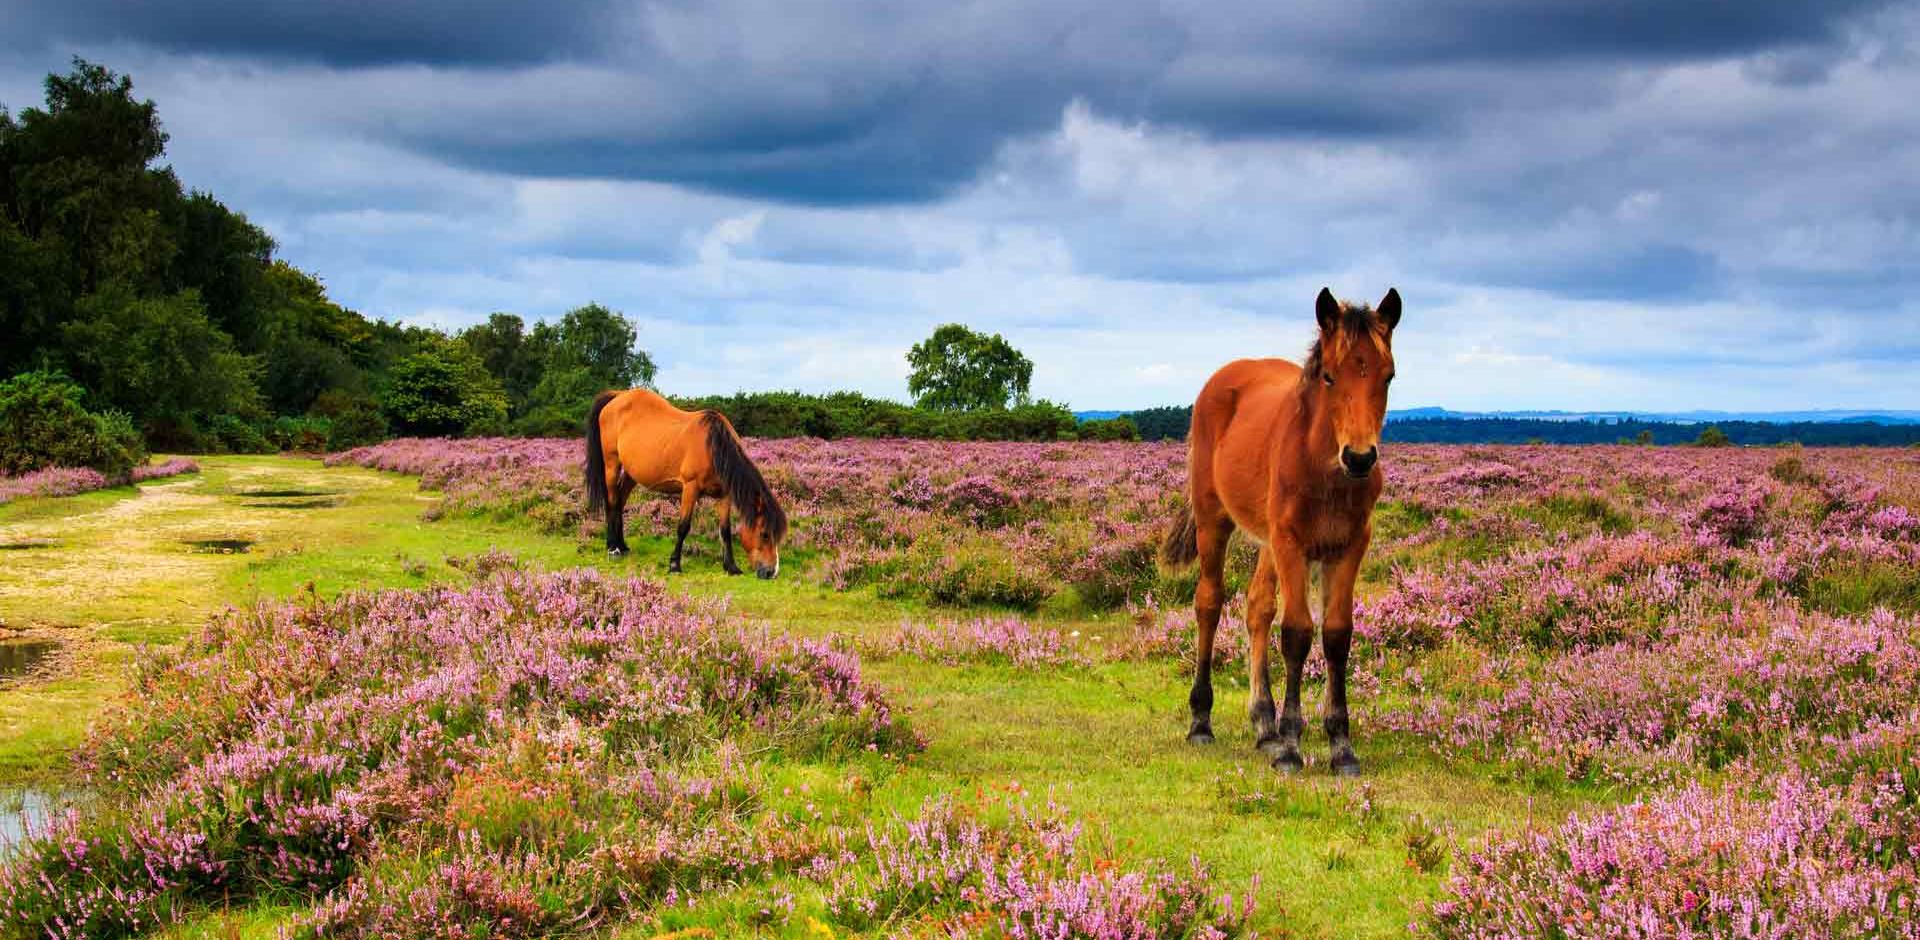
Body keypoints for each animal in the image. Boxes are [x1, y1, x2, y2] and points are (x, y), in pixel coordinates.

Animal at [591, 385, 787, 575]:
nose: (771, 572)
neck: (714, 448)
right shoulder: (690, 488)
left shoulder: (724, 495)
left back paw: (622, 545)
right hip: (612, 464)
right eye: (764, 534)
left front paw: (731, 567)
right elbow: (683, 527)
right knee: (612, 501)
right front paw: (674, 565)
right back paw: (613, 547)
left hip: (632, 473)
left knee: (620, 502)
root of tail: (619, 395)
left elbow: (725, 530)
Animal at [1159, 289, 1405, 775]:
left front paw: (1340, 746)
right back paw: (1202, 721)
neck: (1323, 470)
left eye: (1388, 376)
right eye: (1329, 376)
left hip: (1267, 542)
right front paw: (1292, 746)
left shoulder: (1348, 548)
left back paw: (1264, 725)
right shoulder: (1292, 543)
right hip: (1215, 522)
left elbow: (1336, 635)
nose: (1360, 457)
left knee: (1257, 607)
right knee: (1209, 603)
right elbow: (1296, 633)